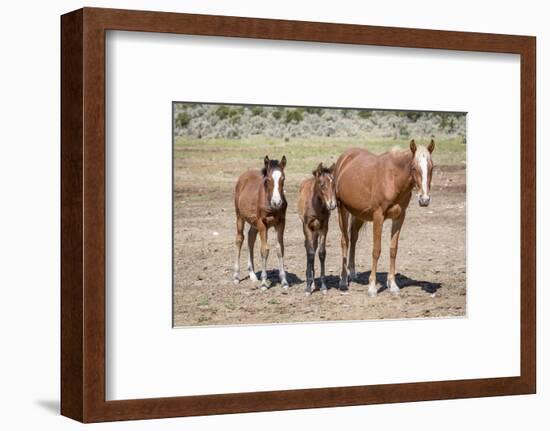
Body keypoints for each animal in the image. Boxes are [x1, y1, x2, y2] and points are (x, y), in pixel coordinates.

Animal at [234, 155, 292, 290]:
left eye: (283, 178)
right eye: (267, 179)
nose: (277, 202)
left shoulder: (281, 223)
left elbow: (280, 249)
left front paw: (284, 281)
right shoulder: (262, 223)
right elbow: (264, 250)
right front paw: (264, 283)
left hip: (253, 222)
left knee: (250, 237)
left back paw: (252, 275)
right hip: (240, 216)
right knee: (240, 239)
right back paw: (236, 276)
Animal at [300, 164, 338, 296]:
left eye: (333, 184)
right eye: (321, 185)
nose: (332, 204)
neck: (316, 206)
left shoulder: (323, 227)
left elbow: (321, 253)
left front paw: (323, 286)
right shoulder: (307, 227)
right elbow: (310, 253)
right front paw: (307, 287)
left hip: (316, 231)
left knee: (314, 246)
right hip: (308, 229)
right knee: (308, 248)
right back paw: (310, 281)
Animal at [334, 140, 438, 296]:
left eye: (431, 167)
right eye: (414, 167)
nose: (424, 200)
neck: (393, 179)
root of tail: (345, 157)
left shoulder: (400, 217)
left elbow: (393, 249)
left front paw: (393, 285)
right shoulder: (378, 217)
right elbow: (376, 250)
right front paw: (372, 287)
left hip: (358, 214)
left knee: (353, 238)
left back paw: (352, 273)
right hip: (343, 210)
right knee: (344, 241)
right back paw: (343, 280)